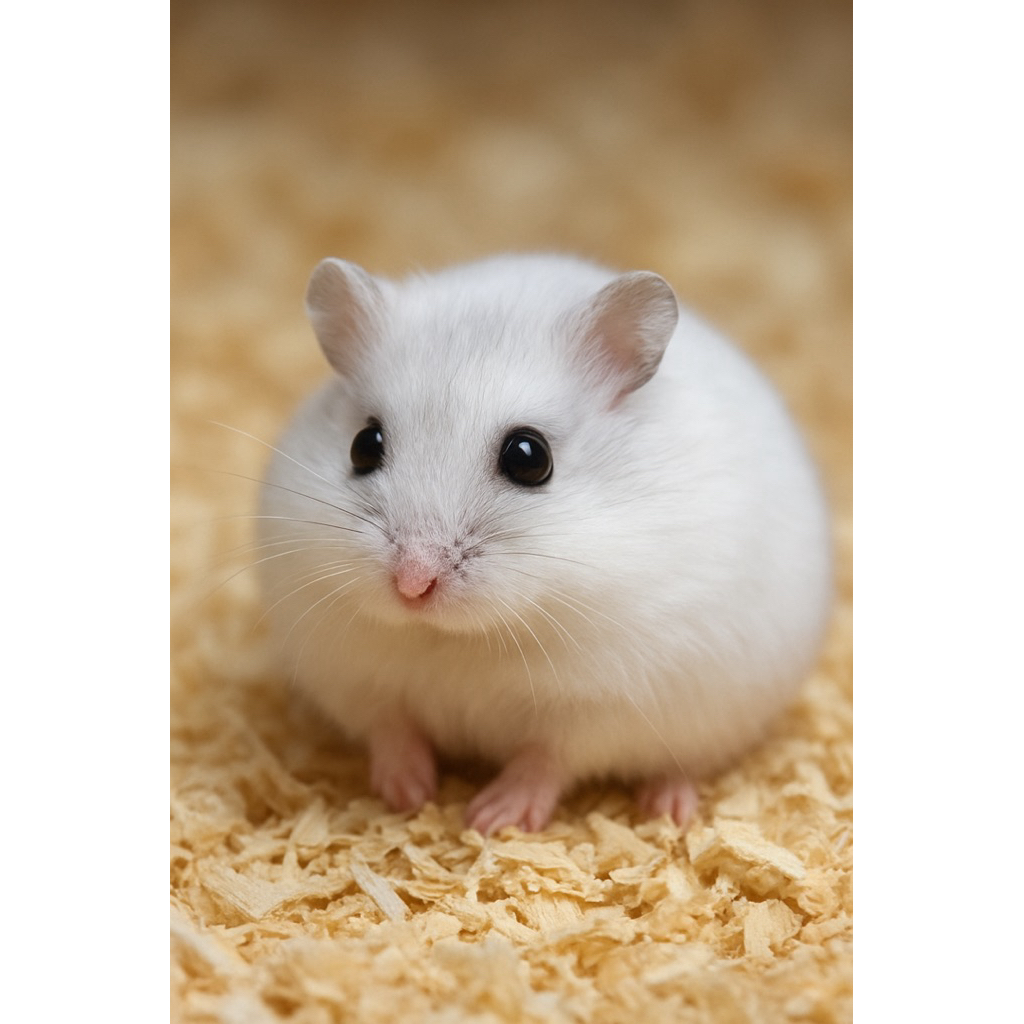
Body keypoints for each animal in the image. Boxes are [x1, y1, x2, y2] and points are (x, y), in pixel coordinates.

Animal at [257, 253, 832, 834]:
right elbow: (392, 730)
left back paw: (668, 808)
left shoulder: (605, 705)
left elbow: (547, 758)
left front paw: (490, 818)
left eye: (529, 457)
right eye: (363, 446)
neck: (459, 638)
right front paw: (408, 794)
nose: (412, 585)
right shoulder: (354, 679)